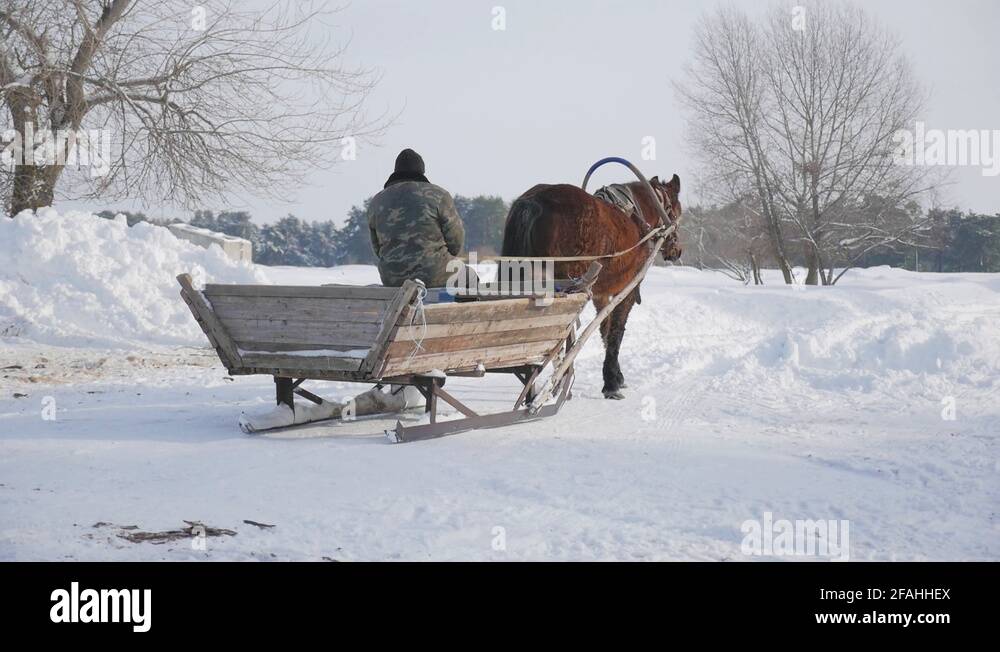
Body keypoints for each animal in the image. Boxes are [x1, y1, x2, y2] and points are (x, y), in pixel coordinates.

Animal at [501, 174, 682, 399]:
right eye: (677, 211)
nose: (677, 250)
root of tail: (534, 201)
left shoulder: (600, 295)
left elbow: (604, 329)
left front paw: (616, 376)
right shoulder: (627, 290)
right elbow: (616, 333)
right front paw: (611, 383)